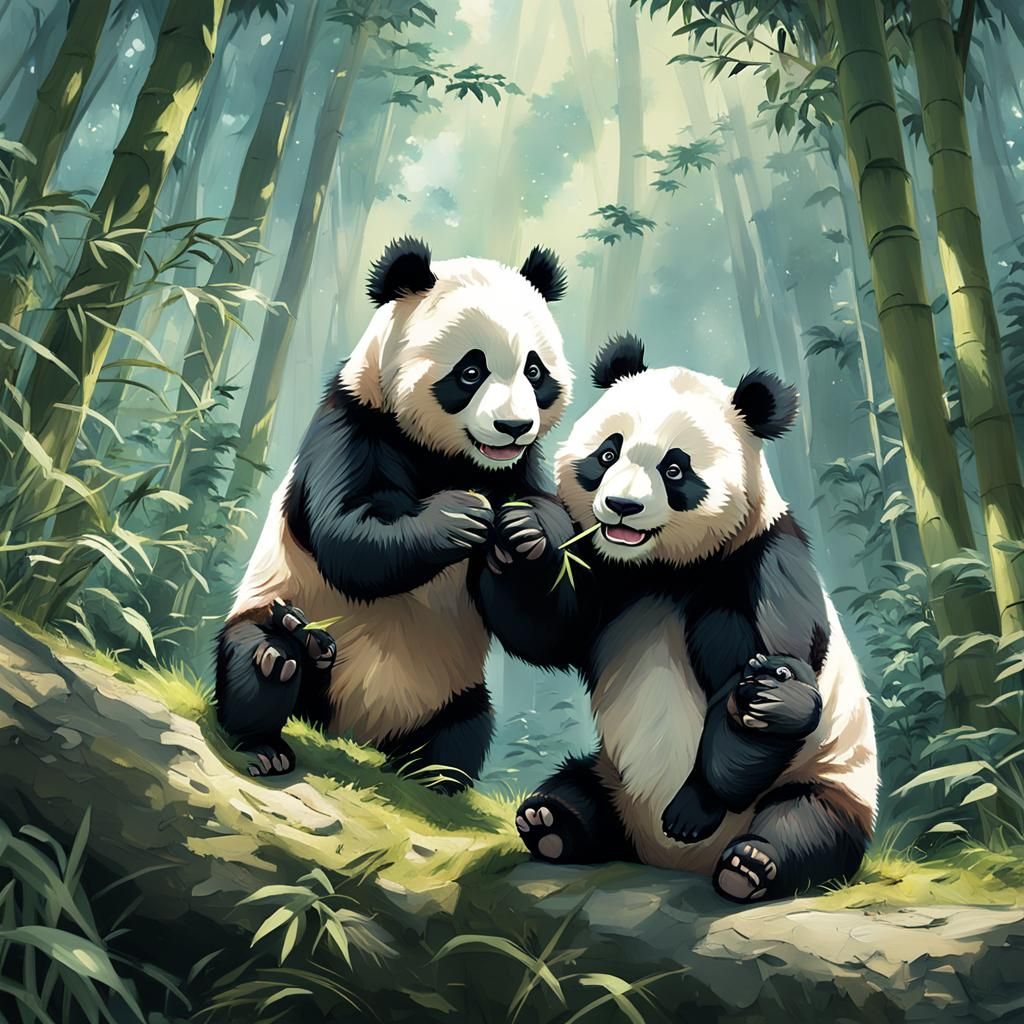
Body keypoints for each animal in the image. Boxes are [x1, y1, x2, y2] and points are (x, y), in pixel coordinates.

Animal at [215, 238, 573, 789]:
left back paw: (430, 773)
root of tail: (353, 731)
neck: (448, 458)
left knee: (466, 727)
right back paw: (278, 691)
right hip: (273, 607)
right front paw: (458, 516)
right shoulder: (354, 424)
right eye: (471, 372)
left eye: (535, 371)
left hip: (450, 691)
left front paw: (525, 531)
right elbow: (351, 539)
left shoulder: (518, 468)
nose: (513, 427)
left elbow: (538, 630)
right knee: (251, 660)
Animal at [475, 334, 877, 901]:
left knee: (806, 823)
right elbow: (551, 633)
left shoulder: (760, 563)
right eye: (608, 453)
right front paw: (523, 536)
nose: (621, 506)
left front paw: (761, 704)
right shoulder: (609, 573)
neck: (667, 571)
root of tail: (666, 860)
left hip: (829, 779)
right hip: (614, 775)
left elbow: (758, 672)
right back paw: (551, 820)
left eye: (674, 469)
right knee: (582, 786)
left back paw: (749, 865)